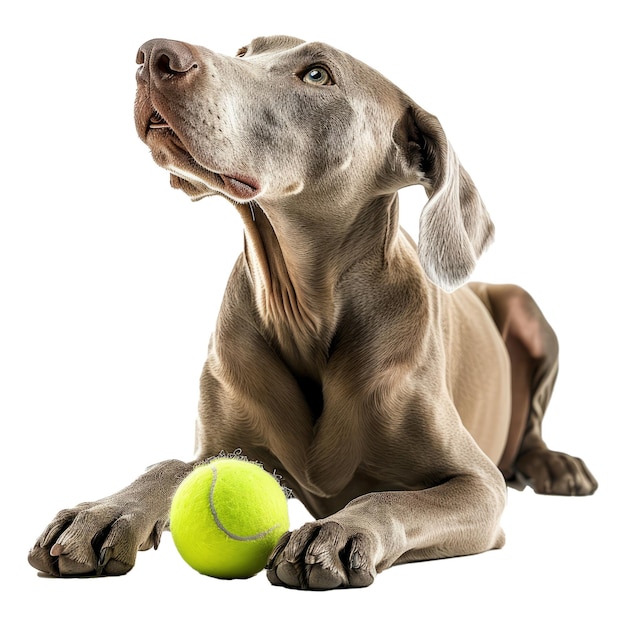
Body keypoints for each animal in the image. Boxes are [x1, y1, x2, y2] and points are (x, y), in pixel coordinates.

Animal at [28, 36, 596, 588]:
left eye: (318, 74)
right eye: (245, 52)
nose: (153, 55)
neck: (301, 311)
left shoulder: (478, 484)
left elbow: (386, 497)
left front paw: (337, 532)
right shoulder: (224, 446)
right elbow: (169, 466)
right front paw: (105, 511)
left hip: (526, 309)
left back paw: (554, 466)